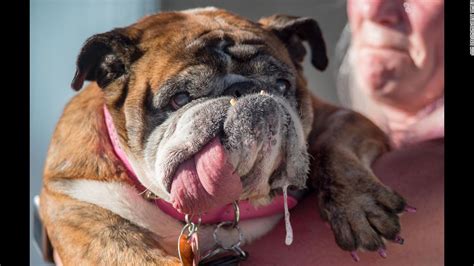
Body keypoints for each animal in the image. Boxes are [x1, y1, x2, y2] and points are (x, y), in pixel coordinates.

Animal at [39, 7, 406, 264]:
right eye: (180, 98)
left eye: (282, 85)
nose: (245, 90)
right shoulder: (75, 204)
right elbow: (121, 247)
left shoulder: (344, 119)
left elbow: (335, 144)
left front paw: (358, 204)